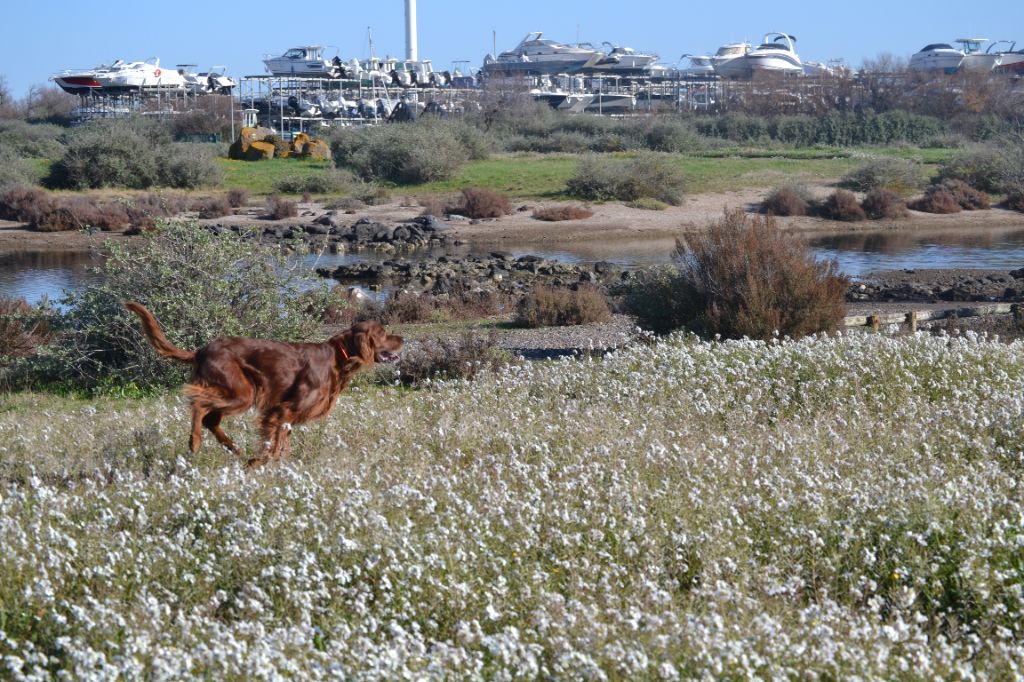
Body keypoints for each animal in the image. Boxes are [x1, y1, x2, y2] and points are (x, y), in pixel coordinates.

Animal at [125, 301, 401, 464]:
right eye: (383, 333)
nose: (403, 339)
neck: (338, 356)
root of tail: (200, 350)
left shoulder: (283, 414)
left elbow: (281, 443)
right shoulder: (283, 410)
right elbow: (274, 444)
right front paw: (259, 464)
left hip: (235, 393)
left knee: (211, 419)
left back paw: (234, 449)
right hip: (241, 392)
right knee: (199, 405)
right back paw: (195, 442)